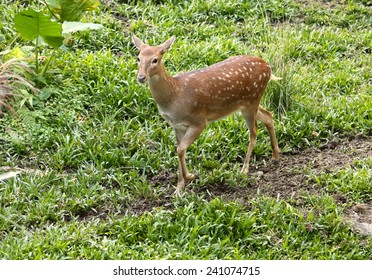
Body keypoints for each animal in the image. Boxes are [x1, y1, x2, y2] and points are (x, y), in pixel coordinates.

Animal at [132, 34, 280, 195]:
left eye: (155, 60)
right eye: (138, 57)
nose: (141, 77)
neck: (174, 97)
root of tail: (268, 67)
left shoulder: (199, 121)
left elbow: (180, 149)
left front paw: (190, 176)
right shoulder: (177, 126)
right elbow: (179, 150)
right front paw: (179, 189)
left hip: (252, 100)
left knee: (254, 131)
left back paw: (245, 169)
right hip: (247, 104)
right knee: (268, 115)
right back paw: (275, 155)